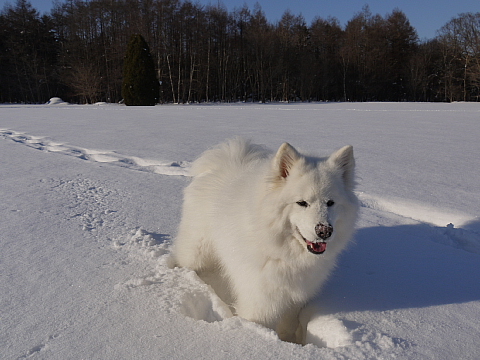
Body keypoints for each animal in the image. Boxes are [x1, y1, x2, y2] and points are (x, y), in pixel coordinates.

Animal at [174, 138, 358, 344]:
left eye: (330, 202)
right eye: (302, 203)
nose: (324, 231)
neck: (284, 253)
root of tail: (227, 158)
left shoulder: (296, 297)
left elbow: (289, 324)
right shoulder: (260, 299)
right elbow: (258, 321)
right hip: (196, 251)